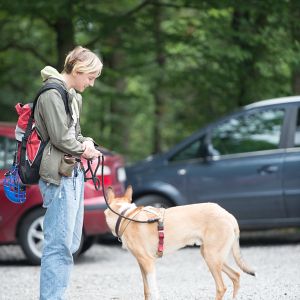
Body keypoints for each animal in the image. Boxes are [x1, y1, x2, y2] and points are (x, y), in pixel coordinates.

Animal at [104, 186, 254, 298]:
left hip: (212, 257)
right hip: (211, 256)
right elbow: (147, 291)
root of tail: (229, 215)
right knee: (236, 276)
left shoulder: (148, 262)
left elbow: (154, 291)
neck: (125, 216)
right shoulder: (141, 264)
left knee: (221, 287)